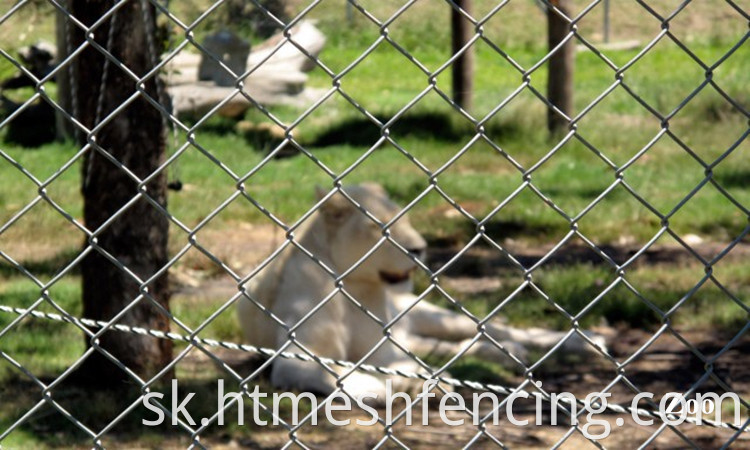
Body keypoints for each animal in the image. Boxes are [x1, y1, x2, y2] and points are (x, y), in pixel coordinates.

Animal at [238, 185, 608, 400]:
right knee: (447, 346)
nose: (420, 249)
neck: (357, 289)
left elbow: (387, 366)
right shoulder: (296, 356)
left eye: (405, 219)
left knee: (499, 330)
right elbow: (338, 374)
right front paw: (406, 384)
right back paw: (503, 355)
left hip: (433, 314)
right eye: (379, 227)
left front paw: (418, 380)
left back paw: (584, 341)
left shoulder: (382, 349)